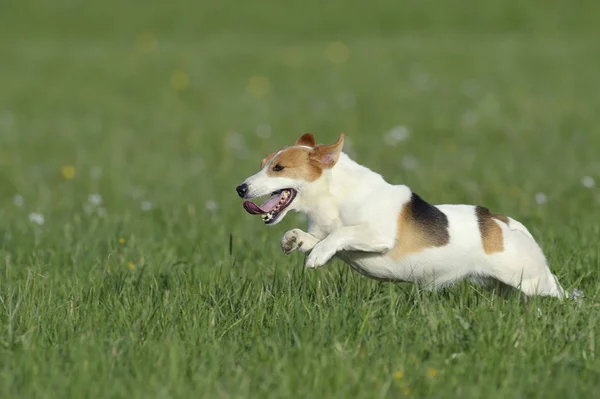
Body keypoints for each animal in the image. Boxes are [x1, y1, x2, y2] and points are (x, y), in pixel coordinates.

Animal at [236, 133, 568, 298]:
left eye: (278, 168)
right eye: (264, 164)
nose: (240, 188)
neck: (333, 196)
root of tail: (503, 222)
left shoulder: (378, 235)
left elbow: (341, 234)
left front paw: (317, 256)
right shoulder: (321, 231)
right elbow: (311, 237)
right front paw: (292, 241)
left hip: (532, 281)